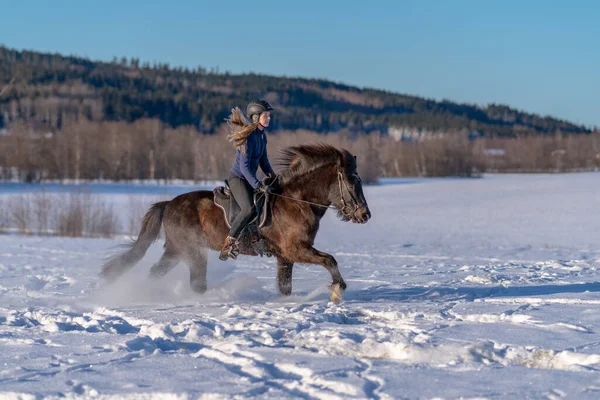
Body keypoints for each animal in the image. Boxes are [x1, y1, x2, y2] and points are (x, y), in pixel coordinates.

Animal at [99, 143, 370, 300]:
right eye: (351, 181)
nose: (365, 215)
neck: (296, 201)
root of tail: (168, 204)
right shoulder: (296, 249)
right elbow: (330, 260)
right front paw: (337, 289)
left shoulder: (285, 256)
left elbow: (286, 287)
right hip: (192, 251)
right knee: (196, 283)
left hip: (177, 251)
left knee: (157, 273)